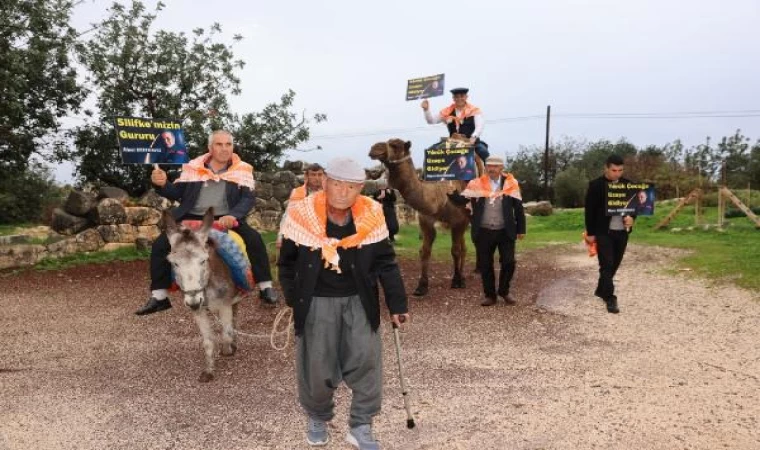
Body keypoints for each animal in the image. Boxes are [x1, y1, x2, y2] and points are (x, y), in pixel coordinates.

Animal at [368, 139, 470, 298]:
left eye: (395, 145)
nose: (374, 148)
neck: (440, 196)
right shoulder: (426, 220)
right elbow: (425, 251)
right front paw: (421, 286)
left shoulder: (458, 221)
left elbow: (455, 250)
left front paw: (456, 280)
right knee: (463, 246)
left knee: (462, 247)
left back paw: (464, 277)